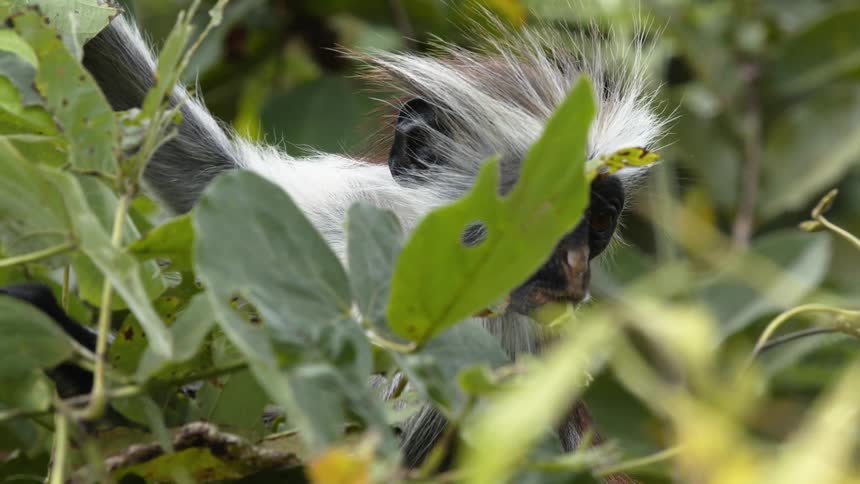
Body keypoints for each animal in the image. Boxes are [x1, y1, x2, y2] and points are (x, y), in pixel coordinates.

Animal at [1, 7, 666, 474]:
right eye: (545, 210)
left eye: (599, 224)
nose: (577, 268)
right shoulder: (349, 209)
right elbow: (201, 170)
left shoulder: (497, 348)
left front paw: (70, 351)